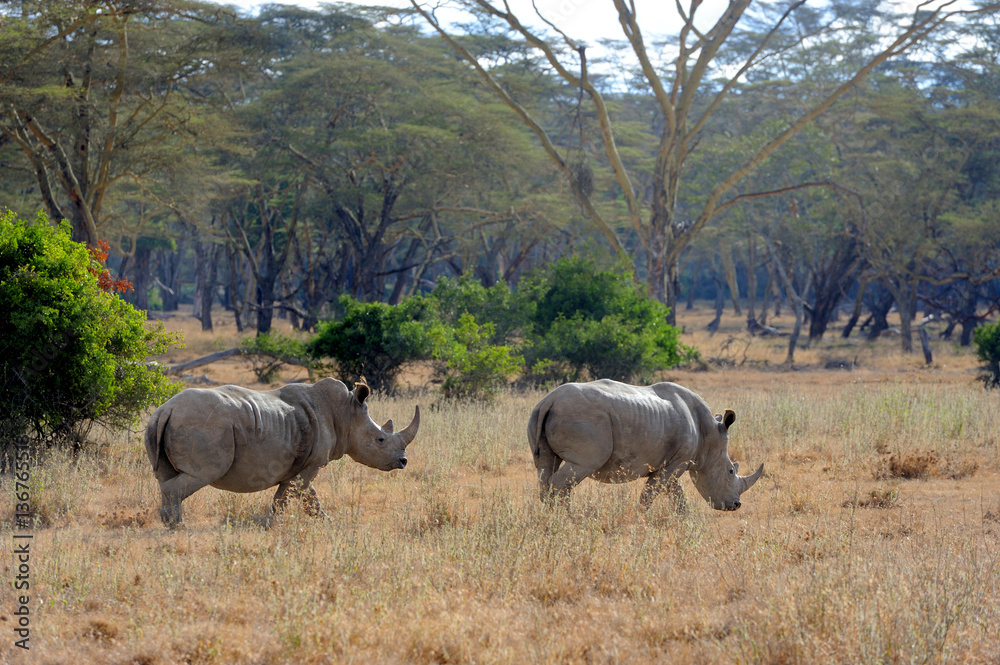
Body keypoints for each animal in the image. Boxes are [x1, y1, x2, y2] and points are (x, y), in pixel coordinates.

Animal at [145, 378, 419, 526]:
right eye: (380, 440)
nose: (403, 461)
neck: (346, 413)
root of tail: (165, 410)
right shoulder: (313, 463)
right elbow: (295, 494)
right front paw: (273, 524)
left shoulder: (301, 463)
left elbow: (300, 495)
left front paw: (325, 522)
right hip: (203, 425)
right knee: (200, 475)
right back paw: (177, 526)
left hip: (163, 422)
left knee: (164, 475)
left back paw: (168, 521)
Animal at [527, 379, 763, 511]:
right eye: (731, 471)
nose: (736, 506)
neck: (709, 436)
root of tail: (548, 400)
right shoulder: (676, 463)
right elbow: (651, 494)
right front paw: (641, 520)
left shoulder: (669, 464)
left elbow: (675, 495)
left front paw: (685, 522)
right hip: (584, 419)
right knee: (575, 471)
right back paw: (568, 520)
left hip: (541, 413)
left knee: (545, 469)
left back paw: (551, 520)